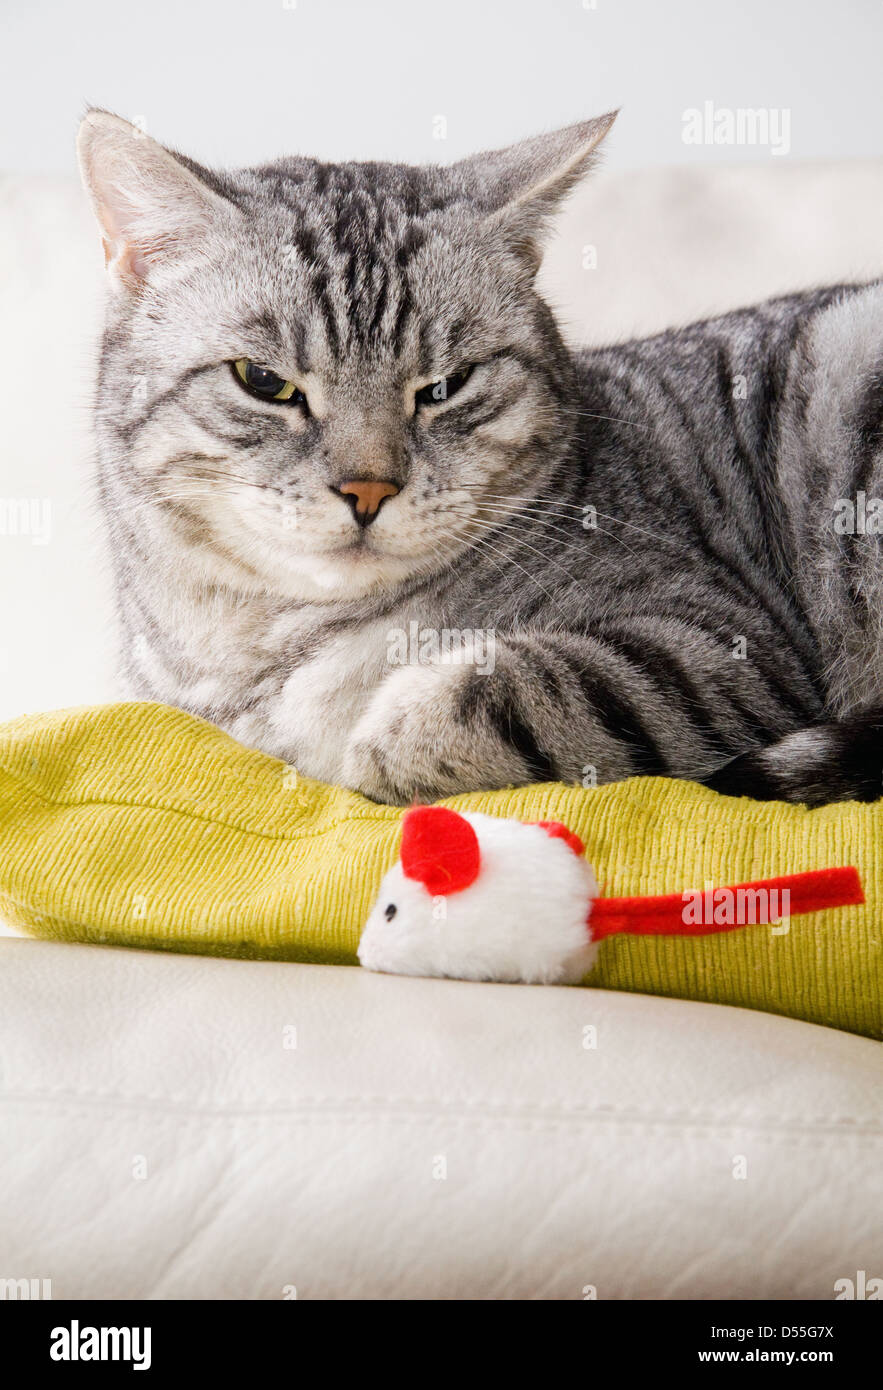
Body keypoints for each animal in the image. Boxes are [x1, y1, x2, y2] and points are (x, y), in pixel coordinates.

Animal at [77, 111, 883, 806]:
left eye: (444, 386)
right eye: (264, 381)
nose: (366, 489)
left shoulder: (722, 647)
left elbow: (492, 696)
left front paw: (371, 743)